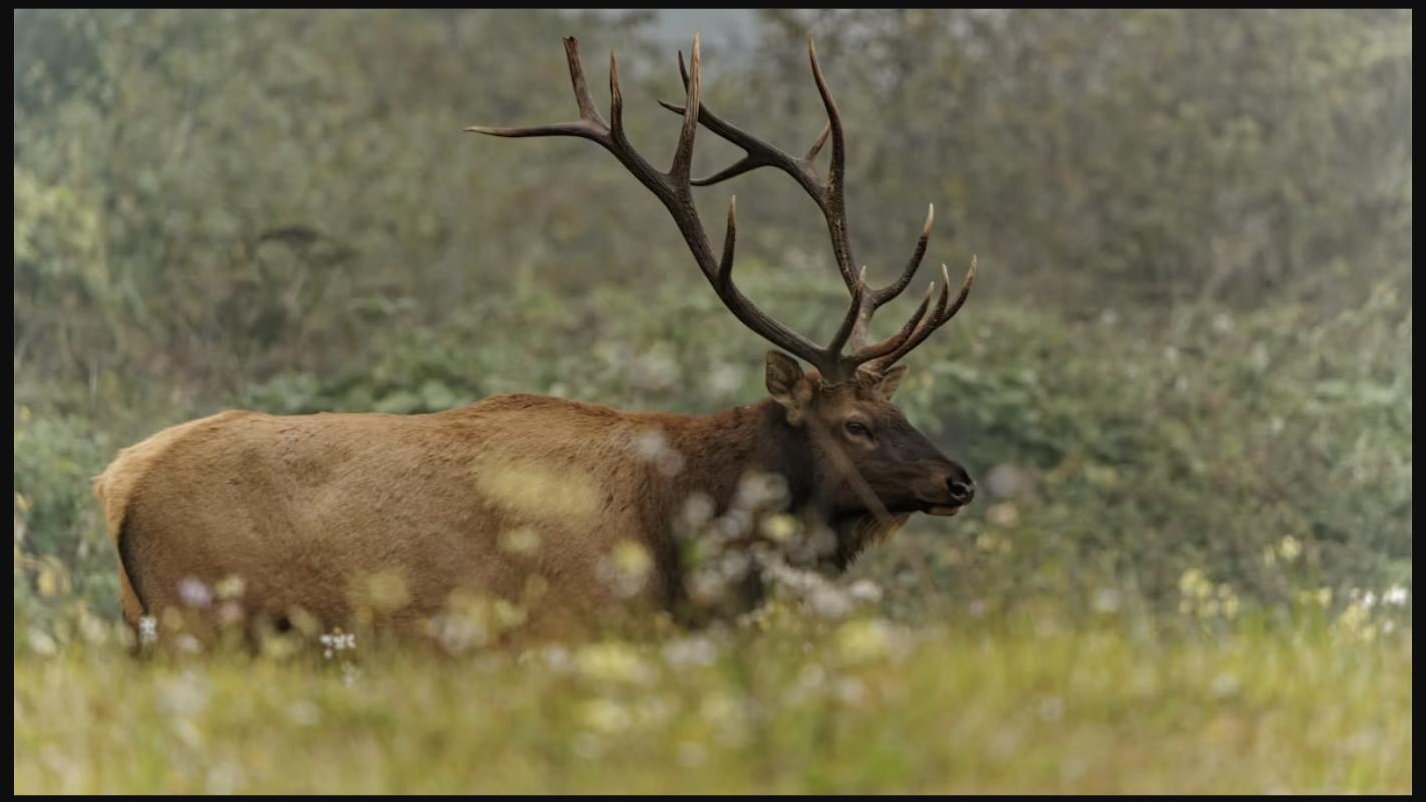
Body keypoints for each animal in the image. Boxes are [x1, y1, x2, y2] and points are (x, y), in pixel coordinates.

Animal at [93, 33, 976, 647]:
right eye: (855, 424)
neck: (678, 532)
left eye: (899, 410)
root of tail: (118, 483)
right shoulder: (565, 630)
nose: (959, 479)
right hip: (199, 621)